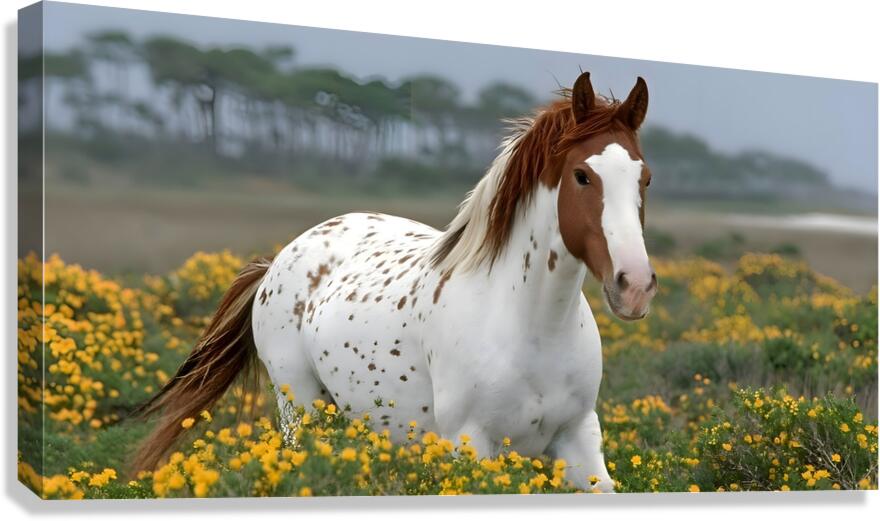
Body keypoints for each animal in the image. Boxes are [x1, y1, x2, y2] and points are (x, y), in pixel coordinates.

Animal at [133, 72, 657, 492]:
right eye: (582, 175)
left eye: (645, 178)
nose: (634, 286)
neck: (531, 326)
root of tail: (278, 261)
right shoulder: (471, 446)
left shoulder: (579, 444)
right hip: (300, 410)